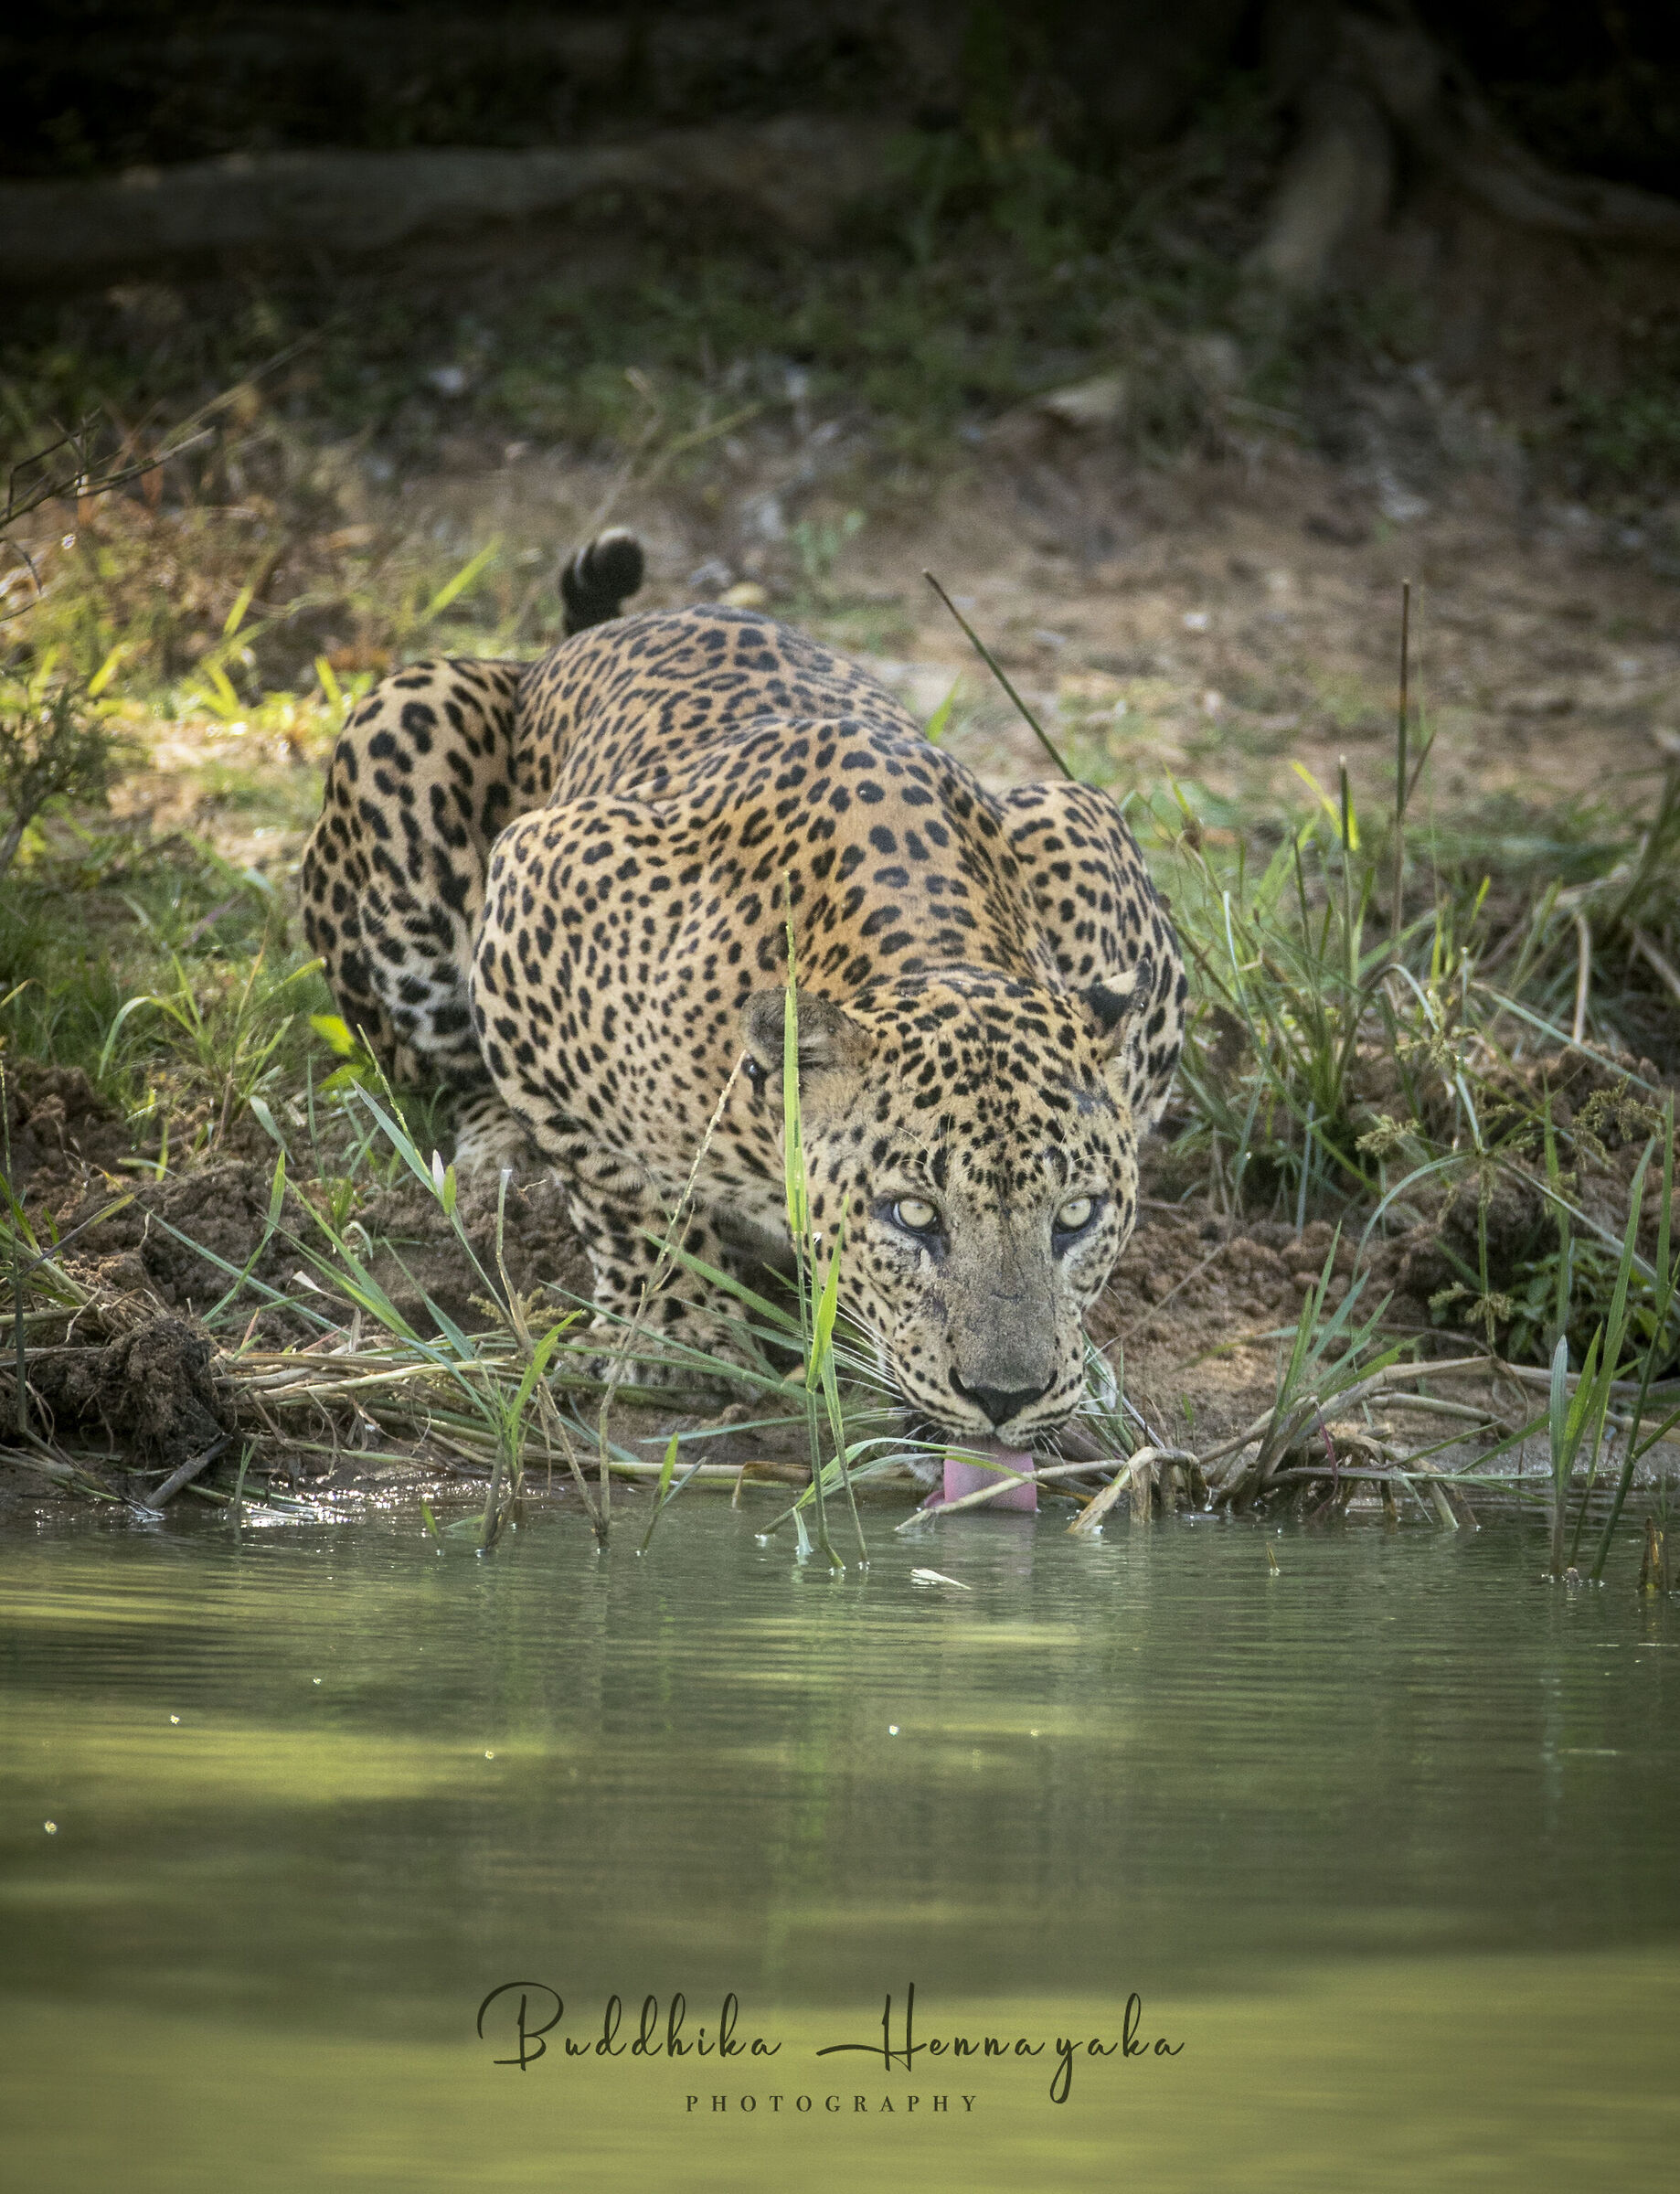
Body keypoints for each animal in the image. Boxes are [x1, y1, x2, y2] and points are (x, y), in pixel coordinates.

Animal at [300, 530, 1186, 1455]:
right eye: (913, 1216)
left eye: (1076, 1215)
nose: (1004, 1397)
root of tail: (573, 647)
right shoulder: (533, 893)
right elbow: (624, 1189)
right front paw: (677, 1340)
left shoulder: (1090, 843)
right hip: (399, 738)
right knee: (437, 1070)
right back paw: (493, 1162)